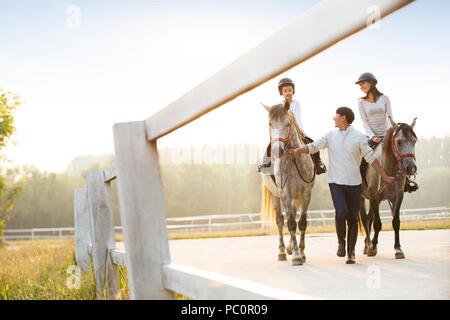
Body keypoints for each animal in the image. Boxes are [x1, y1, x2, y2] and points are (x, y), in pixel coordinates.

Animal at [258, 102, 314, 264]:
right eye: (270, 123)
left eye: (288, 123)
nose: (277, 151)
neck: (293, 159)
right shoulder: (285, 193)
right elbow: (290, 223)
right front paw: (295, 255)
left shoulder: (306, 194)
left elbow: (301, 223)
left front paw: (301, 253)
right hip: (275, 196)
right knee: (280, 221)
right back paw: (282, 251)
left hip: (296, 198)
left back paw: (288, 248)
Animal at [358, 116, 418, 258]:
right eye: (399, 142)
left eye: (414, 141)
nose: (411, 168)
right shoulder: (374, 197)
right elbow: (377, 224)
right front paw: (373, 247)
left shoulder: (398, 196)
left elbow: (396, 222)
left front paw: (398, 249)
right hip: (361, 198)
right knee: (365, 218)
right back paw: (368, 245)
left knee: (369, 217)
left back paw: (366, 245)